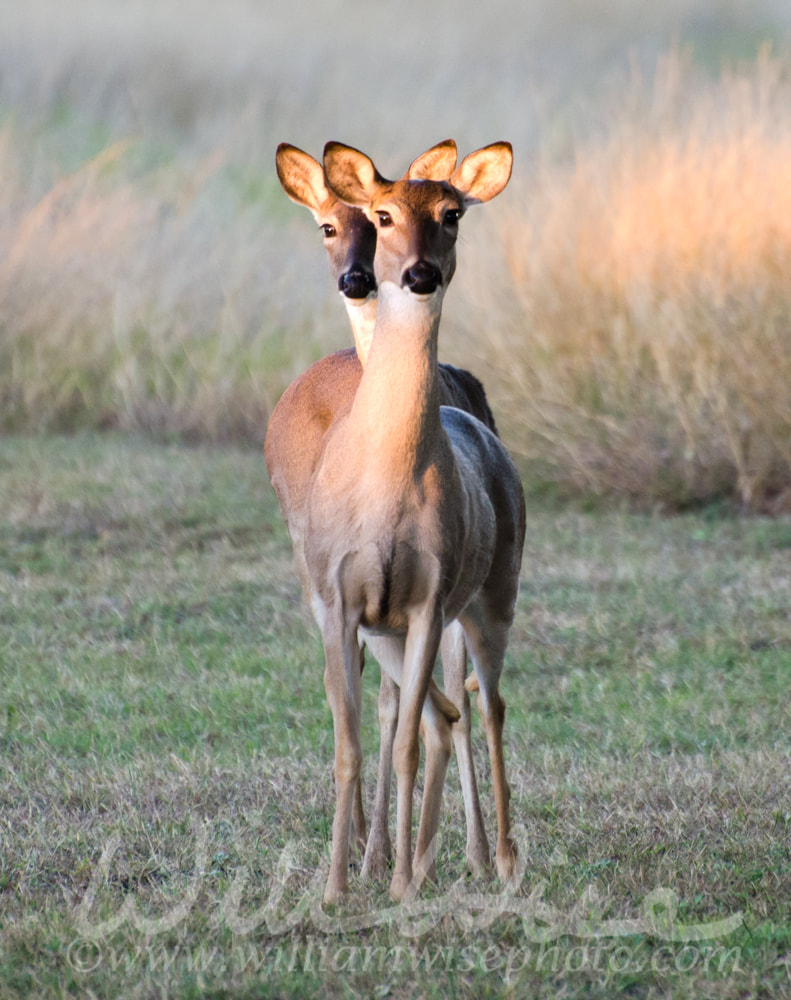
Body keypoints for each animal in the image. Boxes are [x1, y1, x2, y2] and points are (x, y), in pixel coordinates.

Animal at [306, 143, 528, 908]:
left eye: (452, 213)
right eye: (382, 214)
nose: (419, 272)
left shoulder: (432, 596)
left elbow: (401, 741)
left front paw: (398, 882)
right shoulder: (341, 599)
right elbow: (348, 746)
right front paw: (337, 888)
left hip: (494, 593)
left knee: (486, 706)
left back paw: (501, 860)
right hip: (392, 632)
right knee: (444, 714)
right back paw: (433, 860)